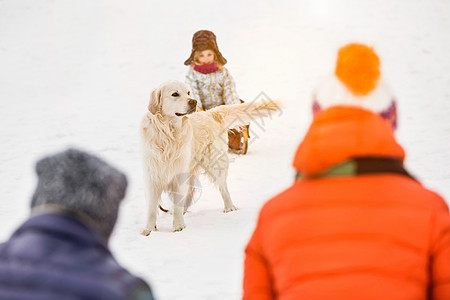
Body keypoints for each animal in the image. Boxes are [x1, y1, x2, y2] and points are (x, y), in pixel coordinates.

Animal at [141, 81, 278, 236]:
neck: (168, 133)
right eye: (175, 94)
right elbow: (151, 208)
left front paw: (178, 225)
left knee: (223, 188)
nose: (194, 101)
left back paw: (229, 208)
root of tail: (209, 113)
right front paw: (149, 229)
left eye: (188, 93)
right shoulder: (152, 176)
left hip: (215, 163)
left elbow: (176, 203)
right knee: (191, 191)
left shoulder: (179, 173)